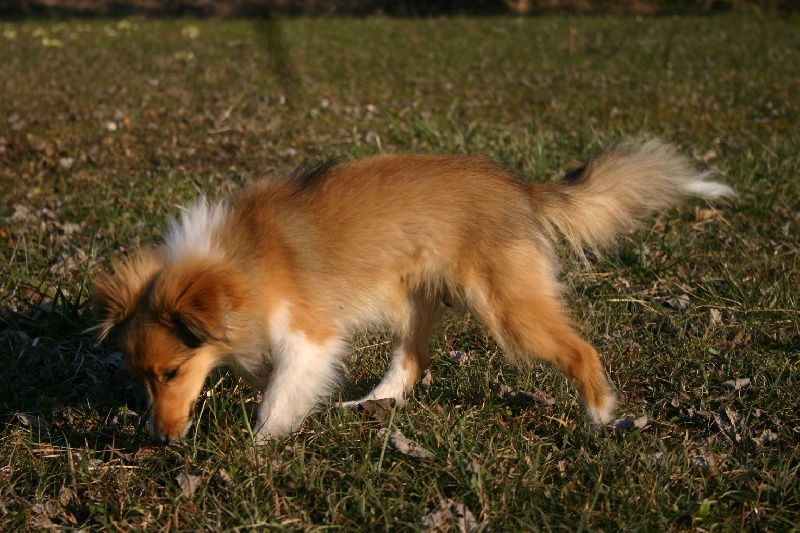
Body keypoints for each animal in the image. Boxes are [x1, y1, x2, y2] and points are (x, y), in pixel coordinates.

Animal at [90, 139, 736, 442]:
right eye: (142, 377)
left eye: (171, 373)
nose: (161, 441)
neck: (236, 264)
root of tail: (522, 188)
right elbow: (266, 375)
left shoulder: (310, 332)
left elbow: (279, 395)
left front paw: (261, 446)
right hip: (414, 297)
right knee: (413, 361)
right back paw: (374, 402)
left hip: (504, 305)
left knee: (581, 351)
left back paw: (601, 417)